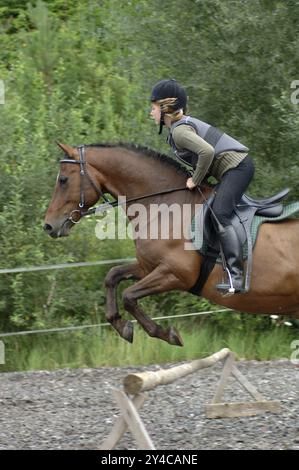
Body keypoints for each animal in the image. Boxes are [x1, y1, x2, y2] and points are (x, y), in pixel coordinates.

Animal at [43, 142, 299, 346]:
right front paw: (122, 326)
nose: (48, 226)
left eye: (63, 180)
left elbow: (128, 296)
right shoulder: (148, 267)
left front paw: (167, 334)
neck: (163, 205)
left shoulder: (176, 274)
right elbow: (112, 276)